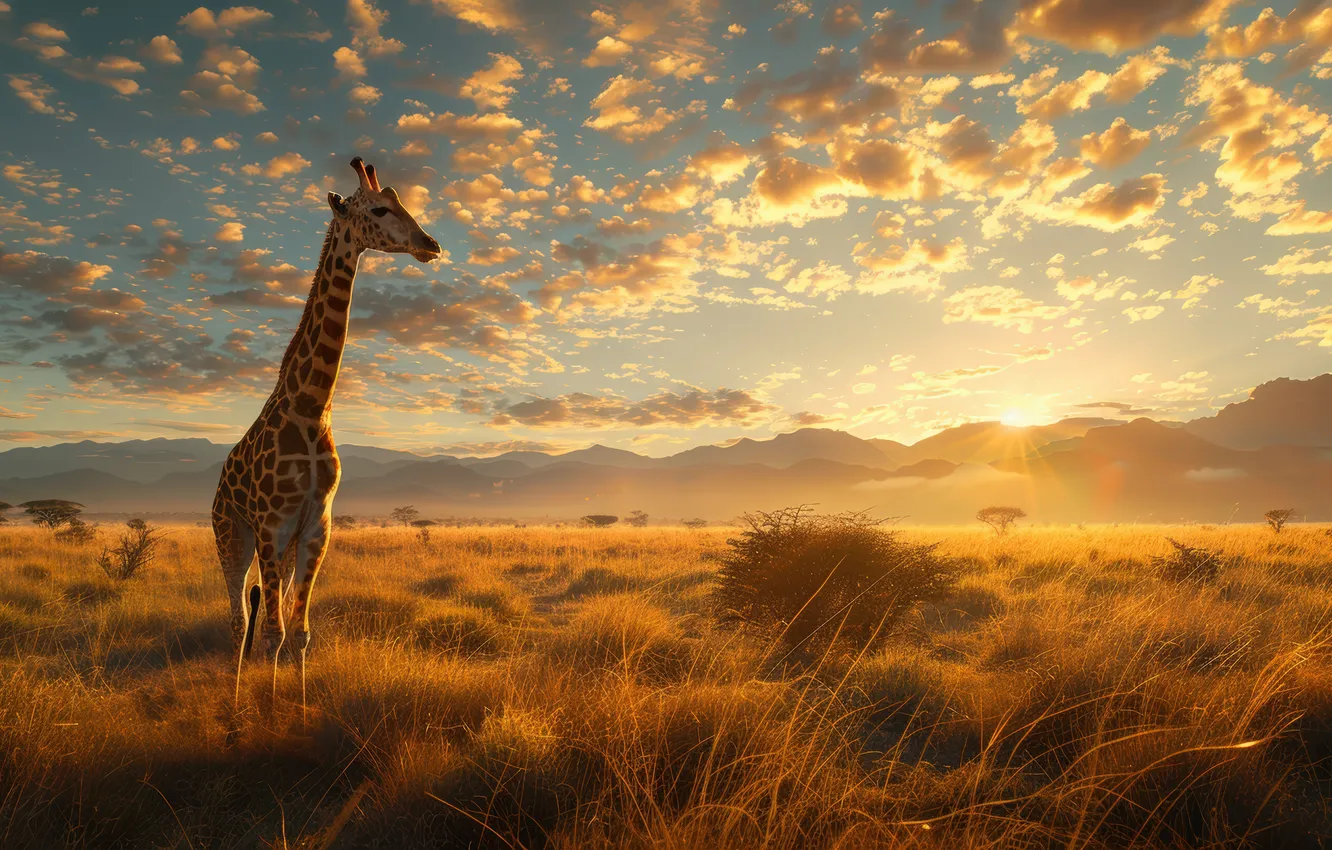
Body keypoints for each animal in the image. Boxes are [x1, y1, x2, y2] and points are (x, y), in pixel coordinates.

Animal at [213, 156, 441, 702]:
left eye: (402, 201)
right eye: (378, 209)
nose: (430, 244)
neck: (312, 406)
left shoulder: (318, 525)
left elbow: (298, 632)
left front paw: (294, 706)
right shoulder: (272, 525)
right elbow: (271, 633)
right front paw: (268, 710)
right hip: (230, 532)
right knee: (237, 618)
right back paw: (235, 697)